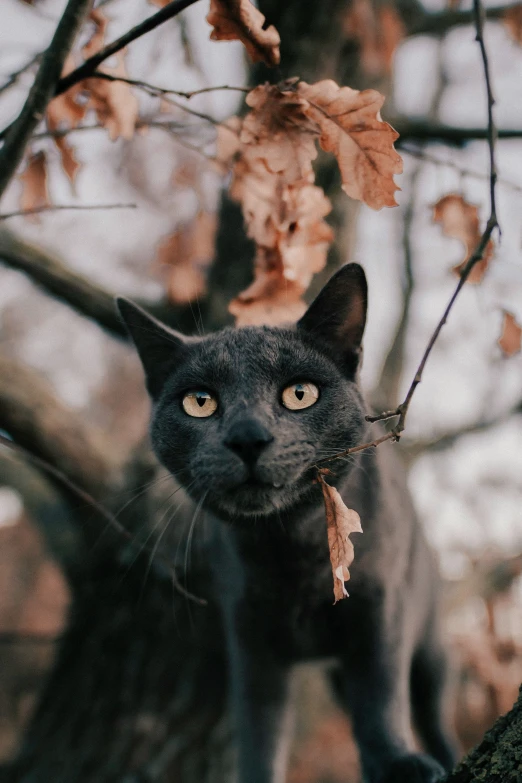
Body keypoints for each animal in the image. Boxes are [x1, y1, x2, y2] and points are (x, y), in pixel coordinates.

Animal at [118, 264, 456, 783]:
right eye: (199, 402)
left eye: (300, 394)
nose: (247, 436)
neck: (292, 549)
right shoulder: (251, 638)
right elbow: (260, 730)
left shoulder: (382, 611)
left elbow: (381, 699)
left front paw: (401, 763)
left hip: (432, 648)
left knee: (430, 712)